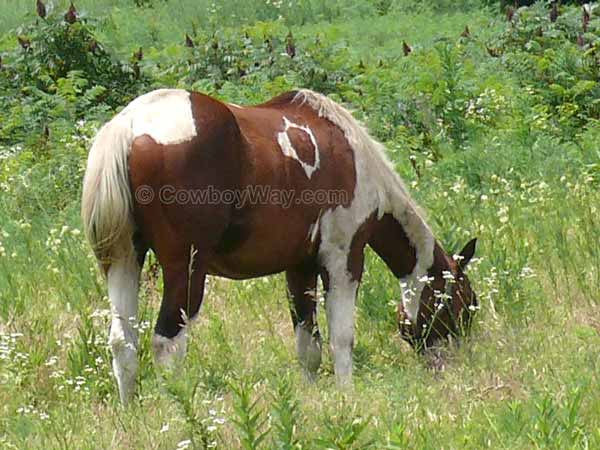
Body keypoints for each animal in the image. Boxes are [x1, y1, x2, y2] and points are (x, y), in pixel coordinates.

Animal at [82, 89, 478, 404]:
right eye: (463, 304)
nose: (453, 368)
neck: (350, 152)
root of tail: (129, 126)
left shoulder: (298, 267)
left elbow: (308, 345)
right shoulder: (343, 260)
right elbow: (341, 338)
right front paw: (347, 397)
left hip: (123, 261)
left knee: (123, 342)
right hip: (186, 270)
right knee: (167, 343)